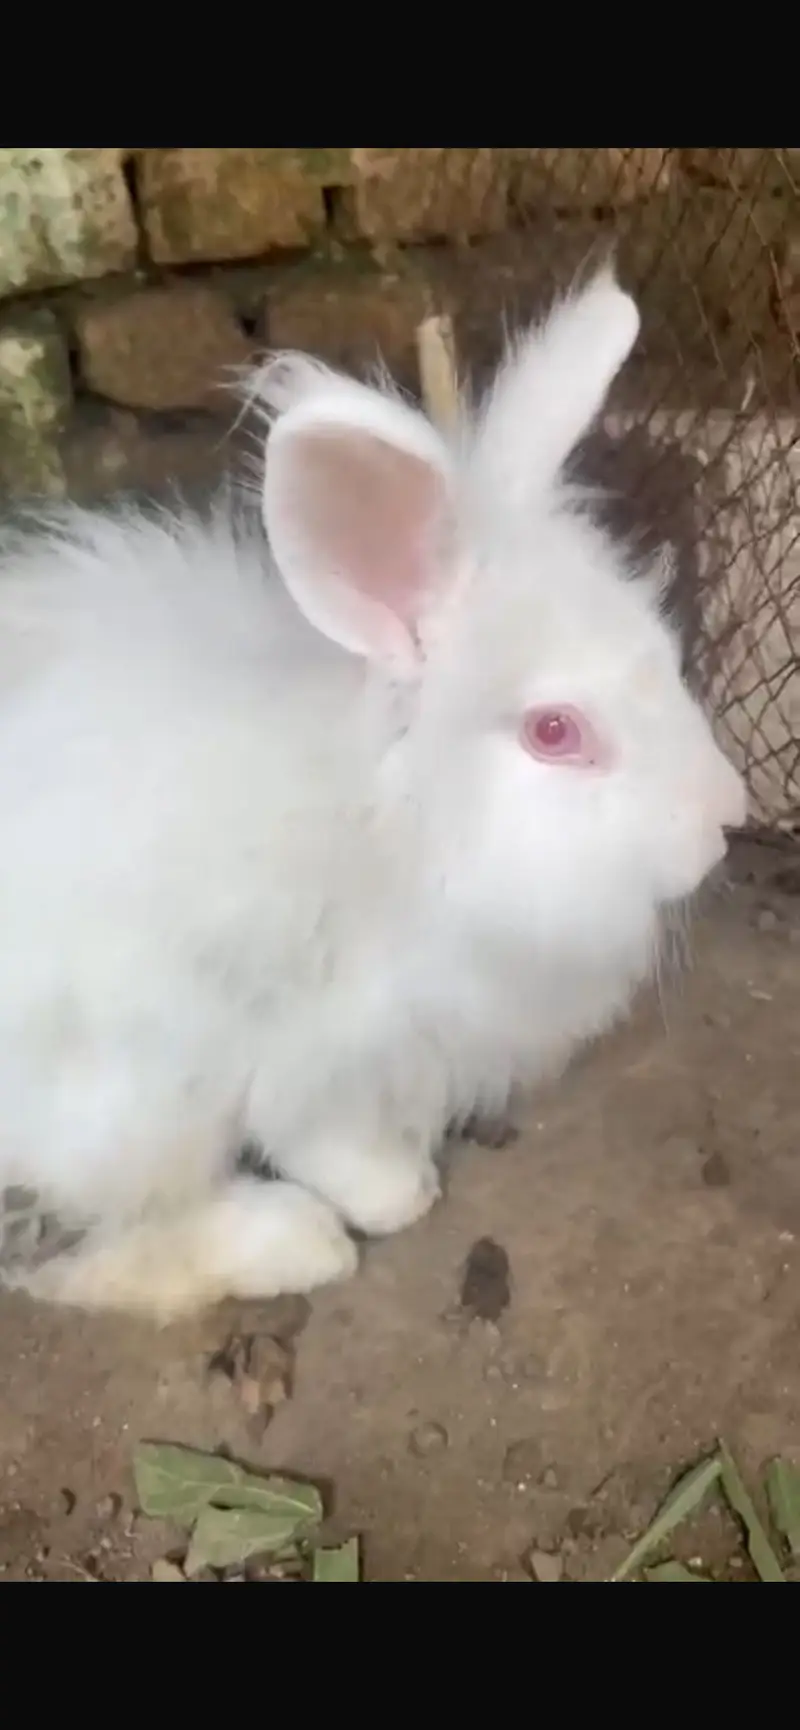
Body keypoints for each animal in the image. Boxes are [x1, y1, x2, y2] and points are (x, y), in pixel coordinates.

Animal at [0, 266, 746, 1323]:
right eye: (554, 732)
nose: (728, 818)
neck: (402, 833)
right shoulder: (317, 1048)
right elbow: (331, 1145)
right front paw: (398, 1197)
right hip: (115, 1094)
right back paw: (293, 1243)